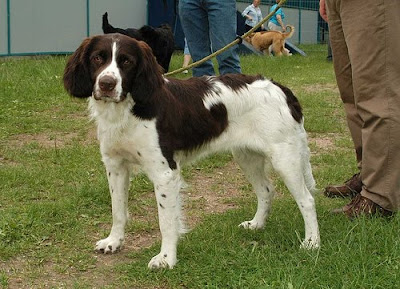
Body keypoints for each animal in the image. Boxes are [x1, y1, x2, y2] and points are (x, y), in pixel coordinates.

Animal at [62, 33, 320, 268]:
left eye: (127, 61)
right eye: (97, 58)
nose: (106, 84)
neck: (129, 109)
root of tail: (281, 88)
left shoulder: (165, 173)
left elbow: (166, 221)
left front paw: (166, 259)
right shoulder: (115, 166)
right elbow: (118, 210)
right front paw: (114, 242)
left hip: (284, 158)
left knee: (307, 199)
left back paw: (312, 243)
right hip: (246, 155)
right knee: (266, 189)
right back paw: (257, 224)